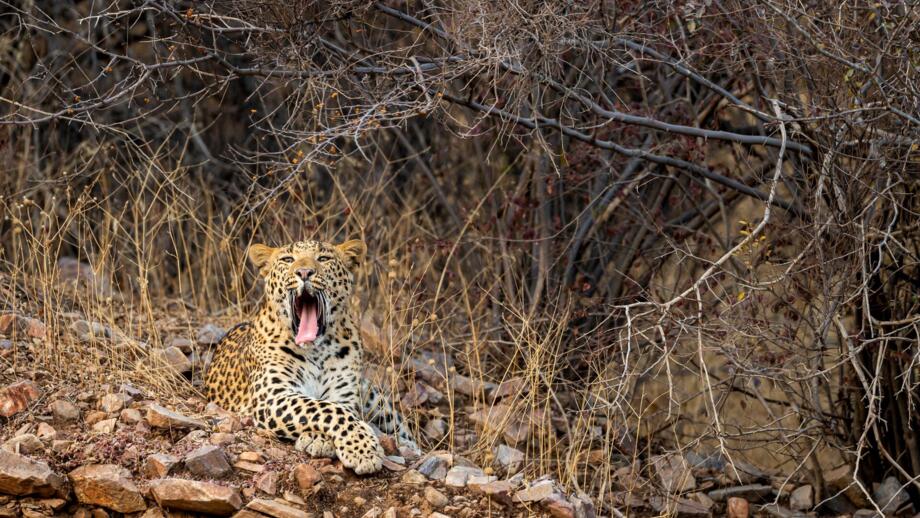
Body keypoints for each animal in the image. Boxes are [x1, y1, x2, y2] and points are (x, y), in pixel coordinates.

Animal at [205, 238, 418, 474]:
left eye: (323, 258)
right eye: (288, 259)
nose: (304, 272)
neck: (317, 350)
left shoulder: (344, 395)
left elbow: (338, 410)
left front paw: (347, 445)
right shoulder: (272, 396)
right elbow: (324, 409)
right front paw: (361, 449)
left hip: (375, 399)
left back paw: (407, 445)